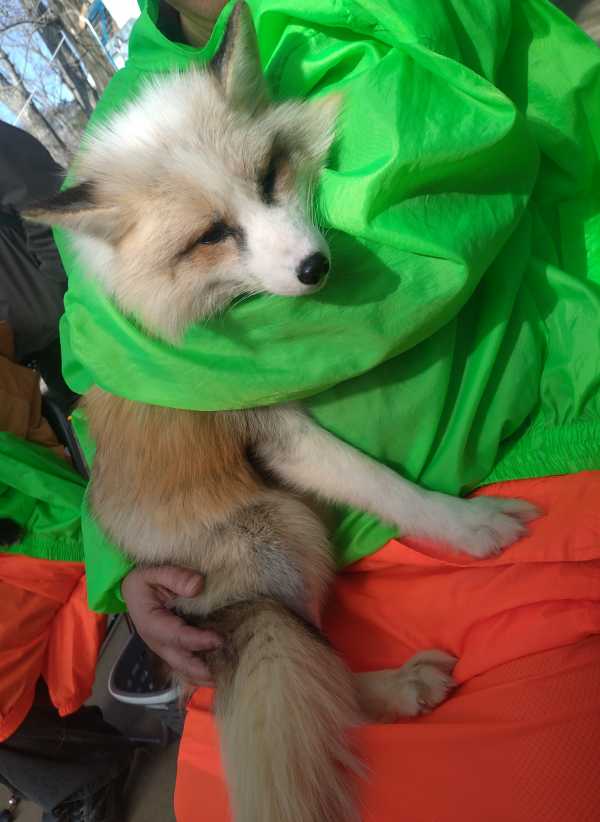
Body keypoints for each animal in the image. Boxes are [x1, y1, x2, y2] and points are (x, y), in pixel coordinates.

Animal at [25, 4, 539, 821]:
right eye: (210, 235)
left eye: (270, 176)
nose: (314, 268)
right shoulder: (271, 424)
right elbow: (382, 484)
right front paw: (465, 525)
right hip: (289, 527)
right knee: (327, 683)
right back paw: (397, 688)